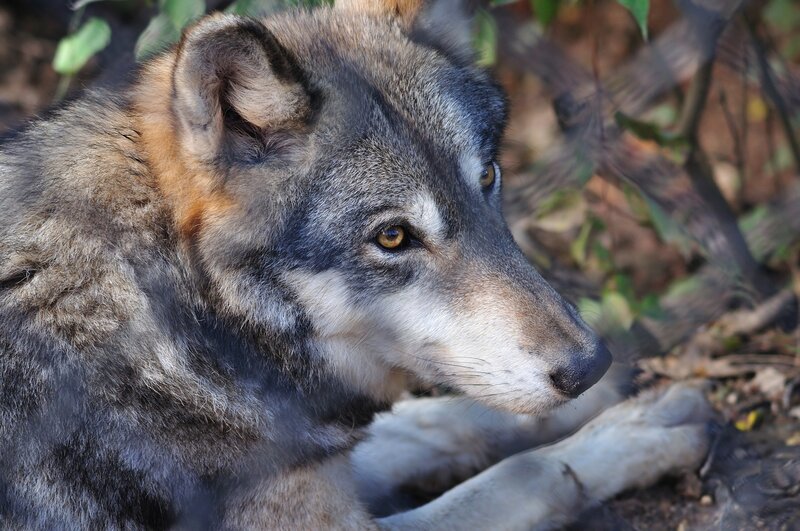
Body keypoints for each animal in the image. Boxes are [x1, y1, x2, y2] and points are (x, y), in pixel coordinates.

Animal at [0, 0, 714, 528]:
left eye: (487, 178)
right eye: (394, 237)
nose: (589, 365)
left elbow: (422, 423)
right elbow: (525, 472)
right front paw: (634, 436)